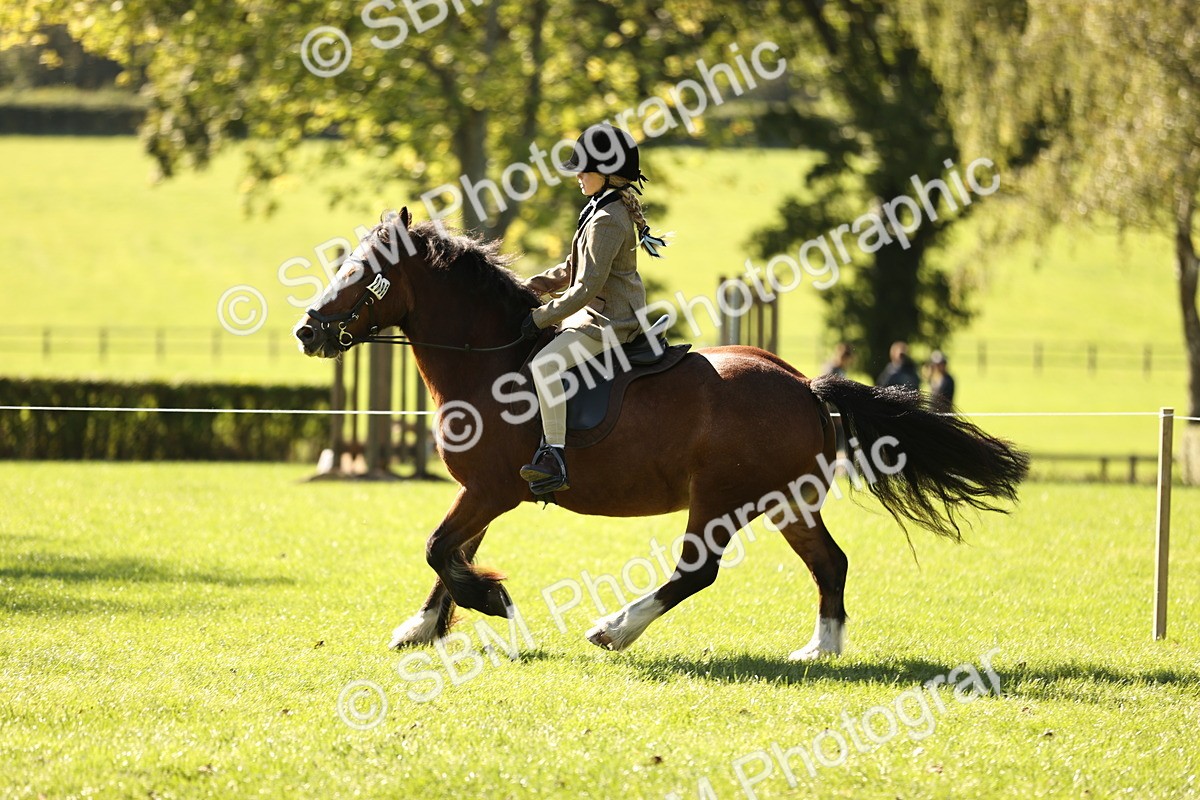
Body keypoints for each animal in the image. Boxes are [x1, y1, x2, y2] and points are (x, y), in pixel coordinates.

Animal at [292, 208, 1029, 660]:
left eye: (361, 273)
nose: (306, 331)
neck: (488, 362)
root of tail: (804, 386)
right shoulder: (484, 491)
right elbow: (450, 555)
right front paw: (421, 626)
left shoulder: (493, 489)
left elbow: (441, 550)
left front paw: (493, 599)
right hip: (787, 501)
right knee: (830, 564)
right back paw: (820, 648)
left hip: (720, 499)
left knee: (696, 571)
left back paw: (615, 630)